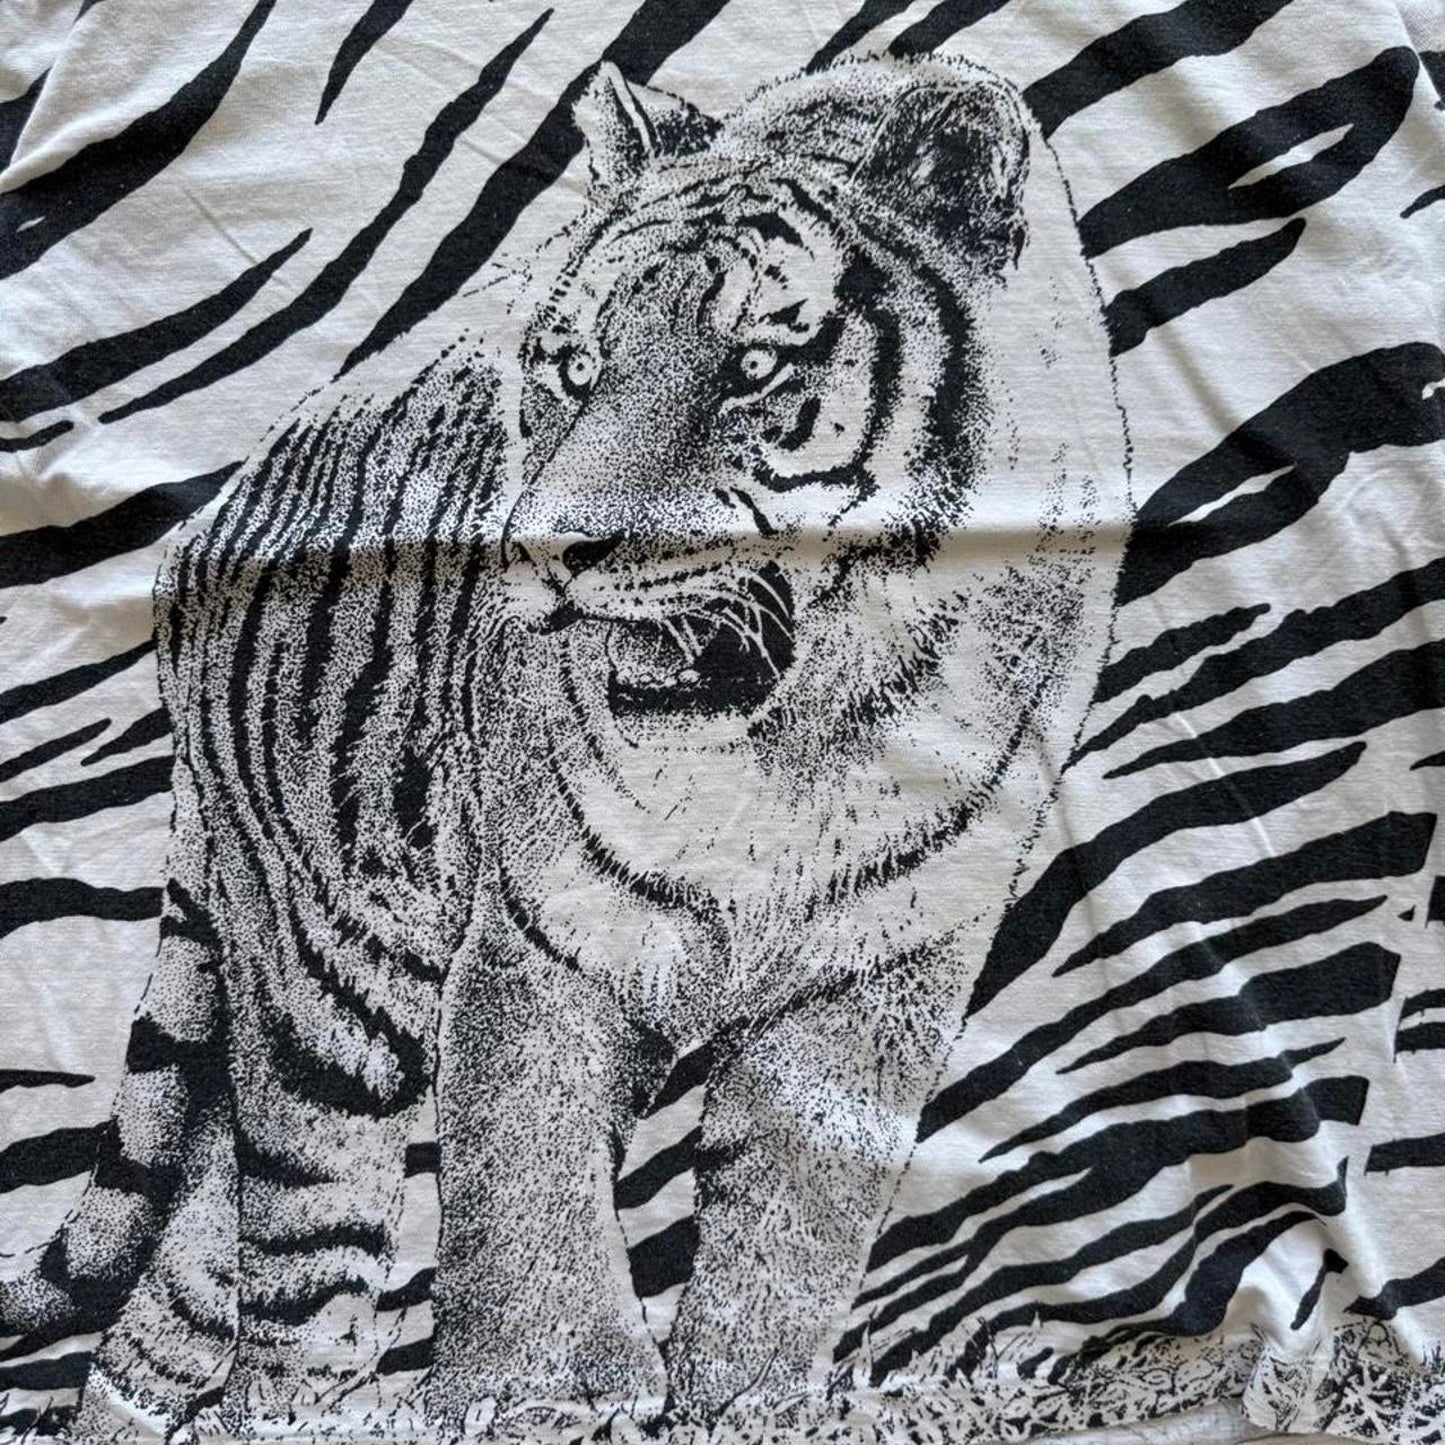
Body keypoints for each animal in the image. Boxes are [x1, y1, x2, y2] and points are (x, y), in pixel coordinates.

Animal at [0, 50, 1130, 1441]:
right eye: (576, 363)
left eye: (756, 363)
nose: (548, 548)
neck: (802, 740)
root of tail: (212, 516)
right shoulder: (544, 936)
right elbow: (521, 1180)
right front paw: (542, 1388)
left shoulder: (878, 969)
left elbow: (795, 1220)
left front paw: (746, 1397)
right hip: (325, 977)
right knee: (301, 1269)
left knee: (173, 1300)